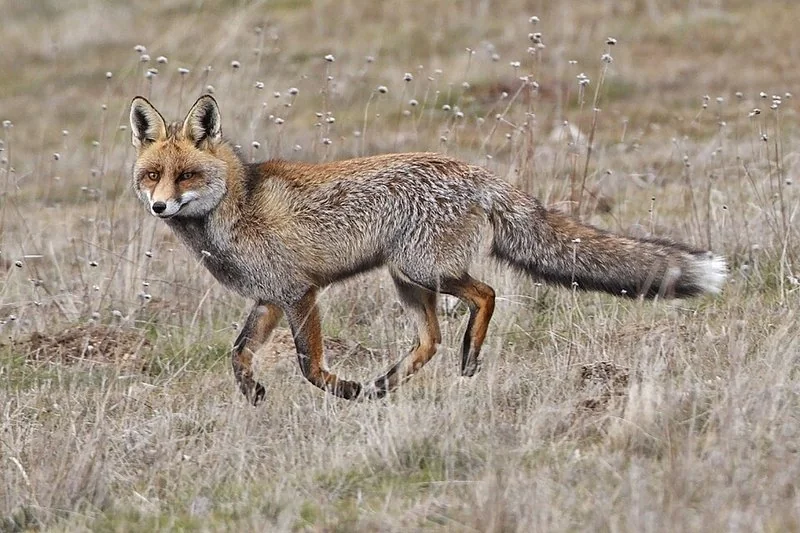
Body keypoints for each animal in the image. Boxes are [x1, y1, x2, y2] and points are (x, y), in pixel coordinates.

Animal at [129, 94, 727, 405]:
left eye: (186, 176)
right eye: (153, 175)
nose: (159, 207)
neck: (237, 204)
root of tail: (477, 173)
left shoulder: (300, 292)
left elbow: (307, 365)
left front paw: (342, 390)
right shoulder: (269, 298)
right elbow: (237, 354)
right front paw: (254, 394)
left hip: (420, 269)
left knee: (485, 295)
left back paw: (465, 357)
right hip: (408, 279)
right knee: (431, 339)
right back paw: (385, 385)